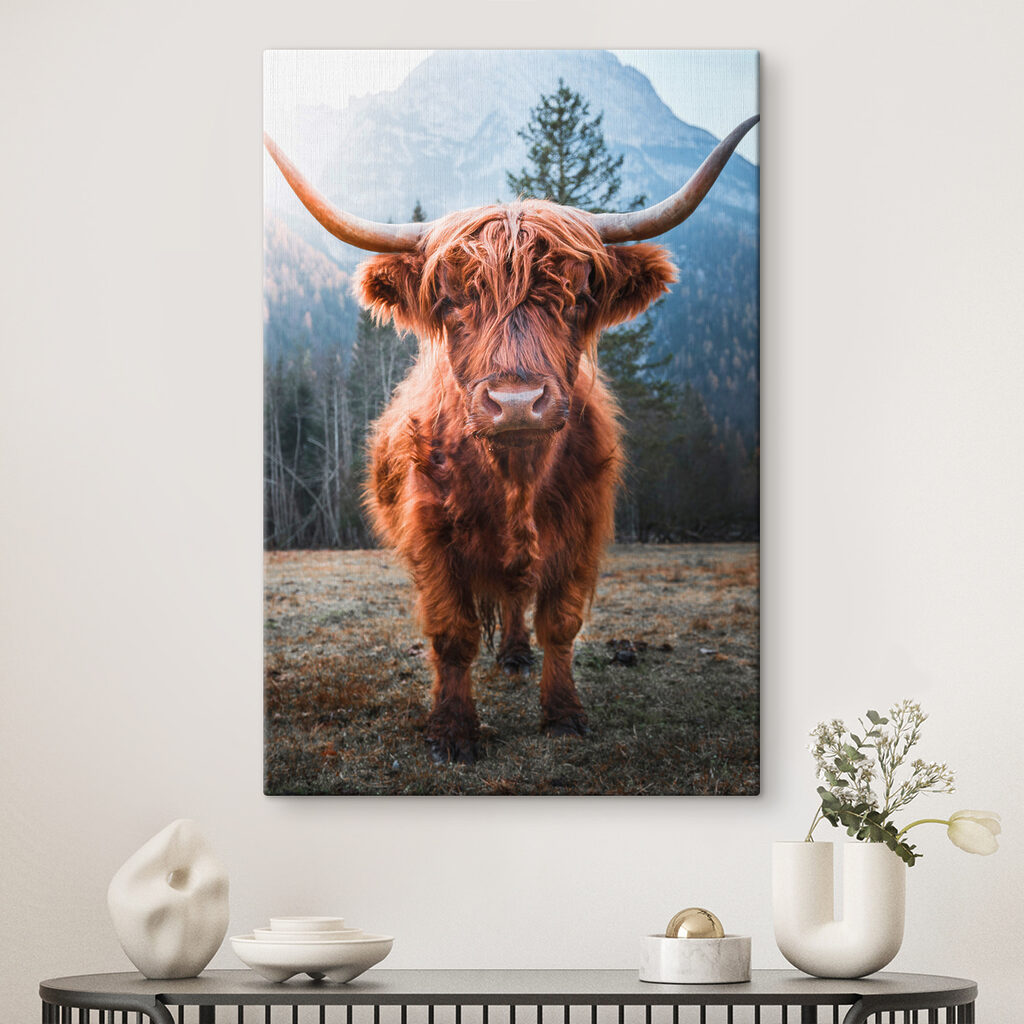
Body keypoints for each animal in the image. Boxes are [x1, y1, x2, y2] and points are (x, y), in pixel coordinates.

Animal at [265, 115, 758, 763]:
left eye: (577, 298)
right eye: (451, 300)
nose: (517, 402)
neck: (515, 478)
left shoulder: (581, 530)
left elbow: (560, 624)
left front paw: (564, 714)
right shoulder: (431, 535)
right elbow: (452, 633)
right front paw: (452, 731)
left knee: (516, 597)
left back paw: (518, 655)